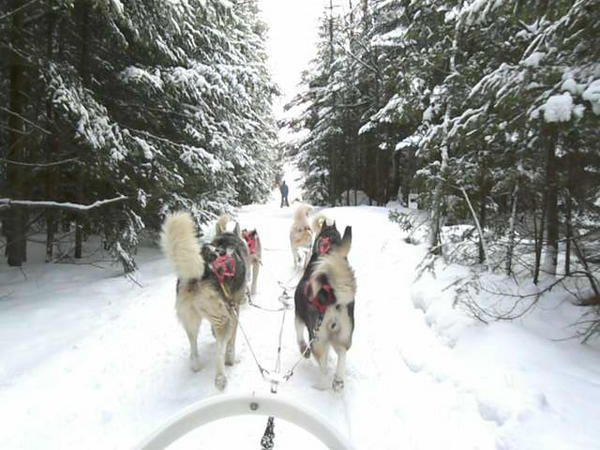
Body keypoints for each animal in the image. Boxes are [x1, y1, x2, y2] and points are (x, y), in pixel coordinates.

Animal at [161, 211, 247, 390]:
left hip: (191, 320)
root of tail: (202, 272)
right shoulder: (234, 309)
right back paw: (220, 378)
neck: (228, 243)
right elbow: (232, 342)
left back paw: (196, 365)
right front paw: (231, 358)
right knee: (219, 352)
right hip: (224, 320)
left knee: (193, 348)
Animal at [292, 214, 354, 390]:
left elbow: (299, 337)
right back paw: (338, 380)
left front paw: (303, 350)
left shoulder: (298, 317)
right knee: (342, 353)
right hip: (343, 336)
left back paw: (321, 385)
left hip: (318, 338)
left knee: (323, 364)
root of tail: (331, 297)